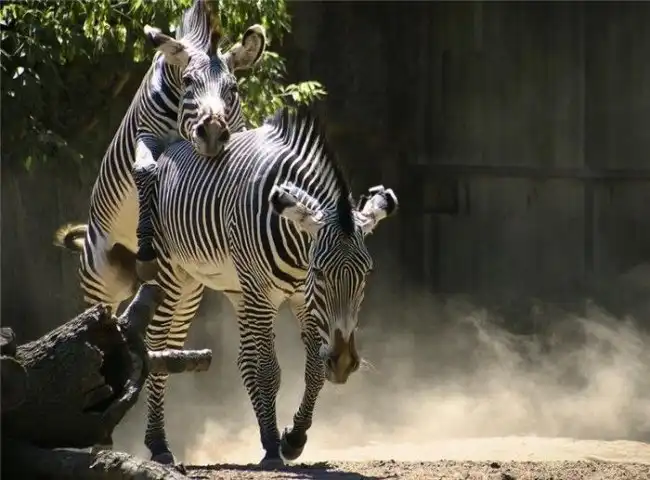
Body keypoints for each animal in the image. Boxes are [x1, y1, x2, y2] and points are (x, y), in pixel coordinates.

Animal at [126, 106, 399, 467]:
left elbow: (313, 368)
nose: (342, 364)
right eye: (320, 272)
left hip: (231, 289)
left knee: (242, 361)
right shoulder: (264, 292)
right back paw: (158, 444)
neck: (299, 251)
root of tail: (172, 148)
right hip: (173, 276)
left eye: (366, 273)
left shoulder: (301, 299)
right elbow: (269, 371)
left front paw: (293, 438)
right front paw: (272, 447)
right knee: (159, 343)